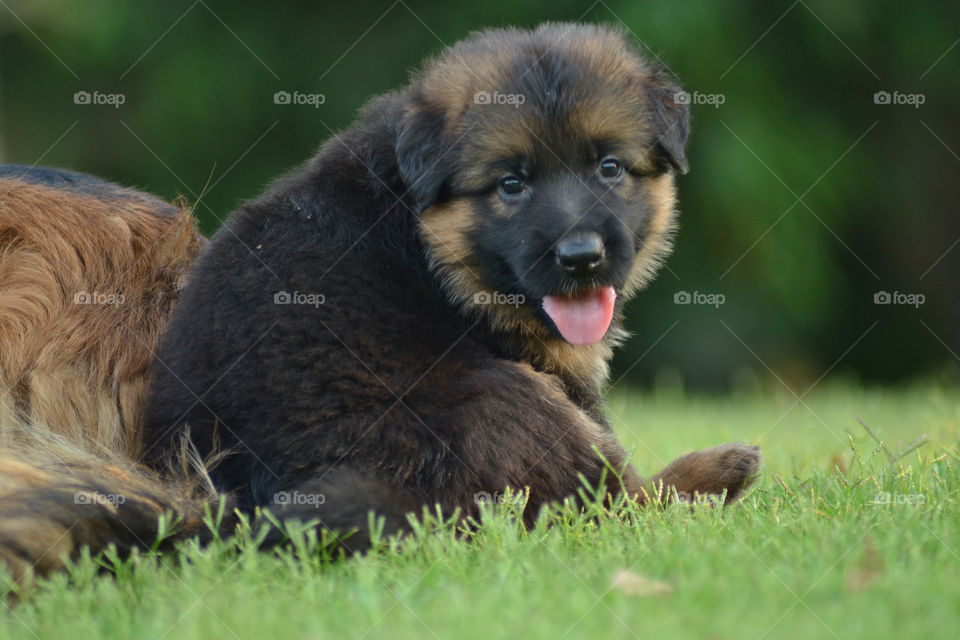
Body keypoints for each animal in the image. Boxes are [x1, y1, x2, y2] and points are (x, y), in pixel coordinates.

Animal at [1, 22, 764, 576]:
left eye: (609, 168)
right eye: (511, 185)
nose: (581, 257)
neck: (422, 226)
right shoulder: (552, 383)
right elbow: (607, 474)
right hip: (500, 399)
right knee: (612, 507)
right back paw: (716, 474)